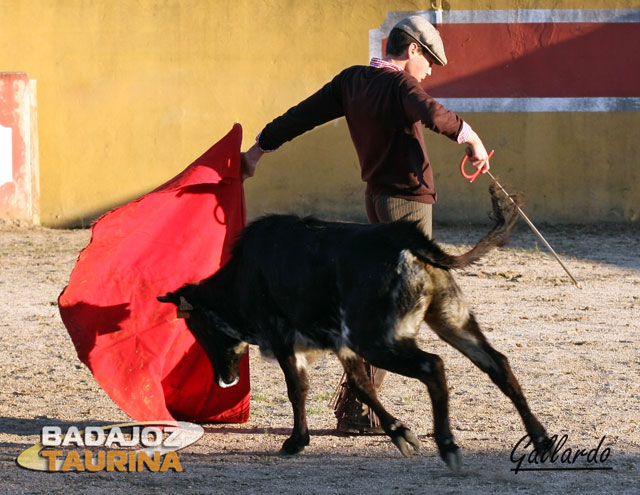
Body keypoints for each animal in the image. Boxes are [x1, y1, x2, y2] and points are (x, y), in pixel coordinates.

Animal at [156, 187, 552, 472]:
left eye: (201, 332)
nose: (224, 380)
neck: (242, 276)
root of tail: (408, 240)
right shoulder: (341, 345)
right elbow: (362, 386)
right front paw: (401, 434)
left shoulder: (284, 340)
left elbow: (297, 389)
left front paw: (296, 442)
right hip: (451, 320)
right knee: (498, 364)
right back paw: (541, 439)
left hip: (378, 339)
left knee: (434, 366)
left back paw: (449, 446)